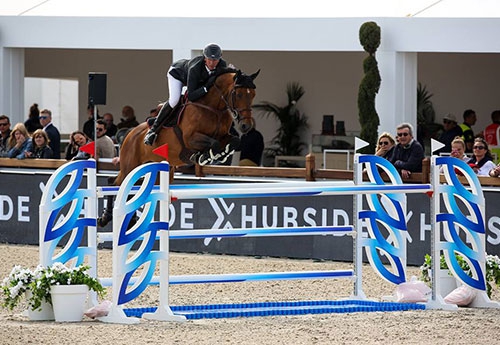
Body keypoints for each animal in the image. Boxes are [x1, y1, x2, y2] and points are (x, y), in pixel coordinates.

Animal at [98, 68, 262, 227]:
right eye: (239, 94)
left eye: (253, 95)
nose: (246, 126)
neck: (214, 108)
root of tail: (130, 133)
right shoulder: (190, 139)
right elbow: (213, 144)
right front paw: (203, 156)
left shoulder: (224, 136)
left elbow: (234, 140)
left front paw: (218, 155)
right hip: (131, 166)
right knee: (116, 184)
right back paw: (105, 217)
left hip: (154, 172)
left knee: (128, 188)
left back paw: (127, 219)